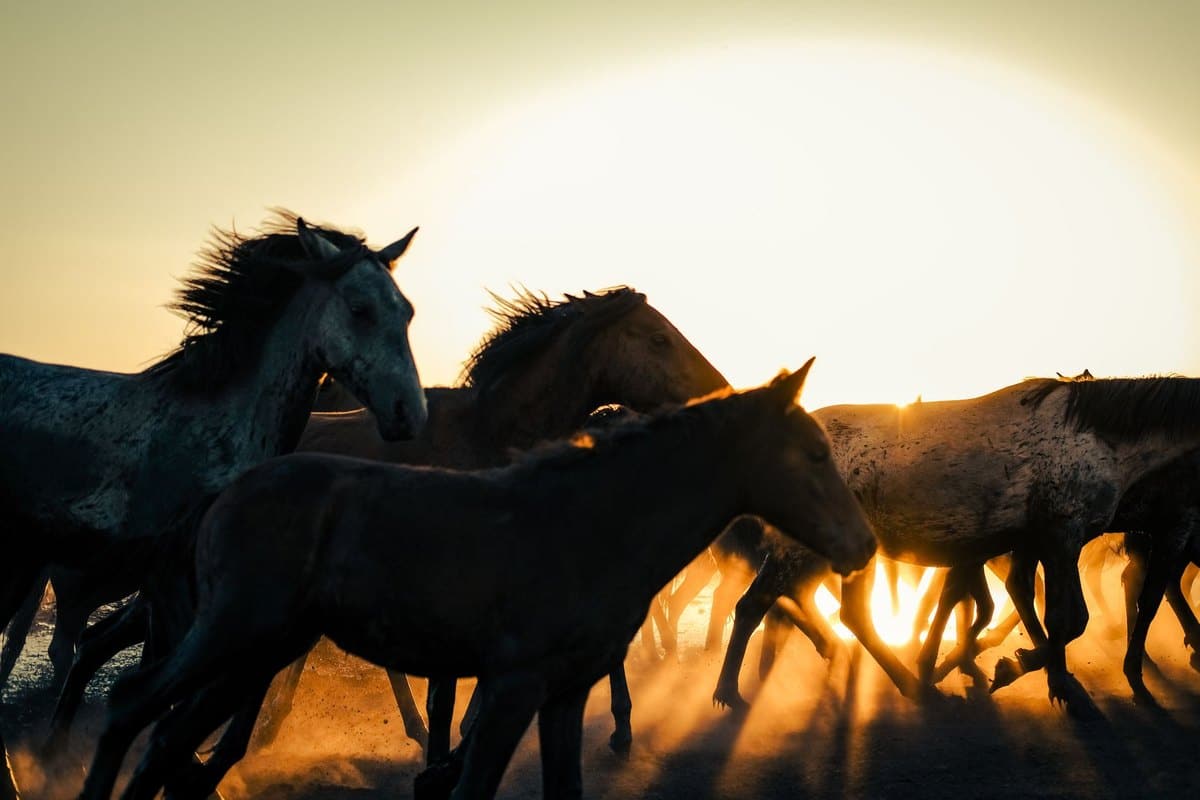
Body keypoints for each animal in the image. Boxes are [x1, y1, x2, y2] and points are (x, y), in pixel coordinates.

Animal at [0, 211, 427, 797]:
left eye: (407, 311)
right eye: (360, 310)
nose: (410, 414)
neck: (216, 431)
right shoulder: (171, 587)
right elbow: (164, 710)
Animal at [75, 362, 878, 800]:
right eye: (813, 453)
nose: (863, 545)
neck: (593, 521)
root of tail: (224, 492)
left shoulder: (561, 694)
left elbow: (563, 787)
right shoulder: (511, 687)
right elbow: (469, 782)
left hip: (257, 652)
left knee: (166, 736)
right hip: (231, 636)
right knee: (131, 707)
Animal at [713, 375, 1200, 719]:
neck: (1100, 437)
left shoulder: (1038, 541)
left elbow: (1035, 607)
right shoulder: (1063, 534)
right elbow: (1069, 617)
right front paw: (1020, 670)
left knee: (846, 614)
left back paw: (909, 682)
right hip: (802, 551)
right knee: (756, 604)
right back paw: (729, 692)